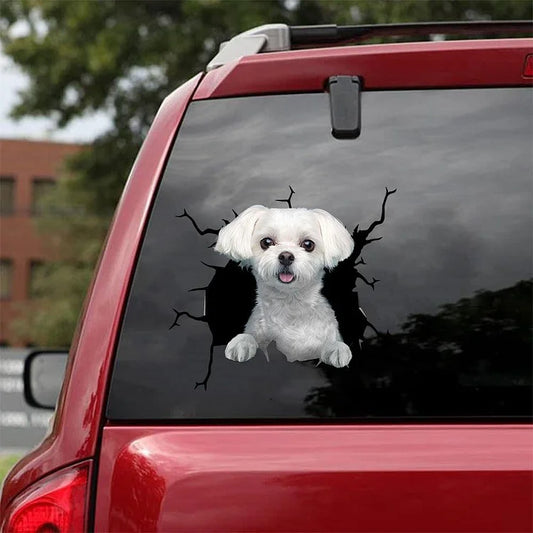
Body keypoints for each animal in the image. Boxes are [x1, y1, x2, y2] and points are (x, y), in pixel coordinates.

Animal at [214, 206, 356, 368]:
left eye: (308, 244)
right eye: (266, 242)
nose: (286, 256)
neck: (290, 304)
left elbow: (331, 342)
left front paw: (336, 348)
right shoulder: (259, 331)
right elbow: (251, 336)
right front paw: (241, 342)